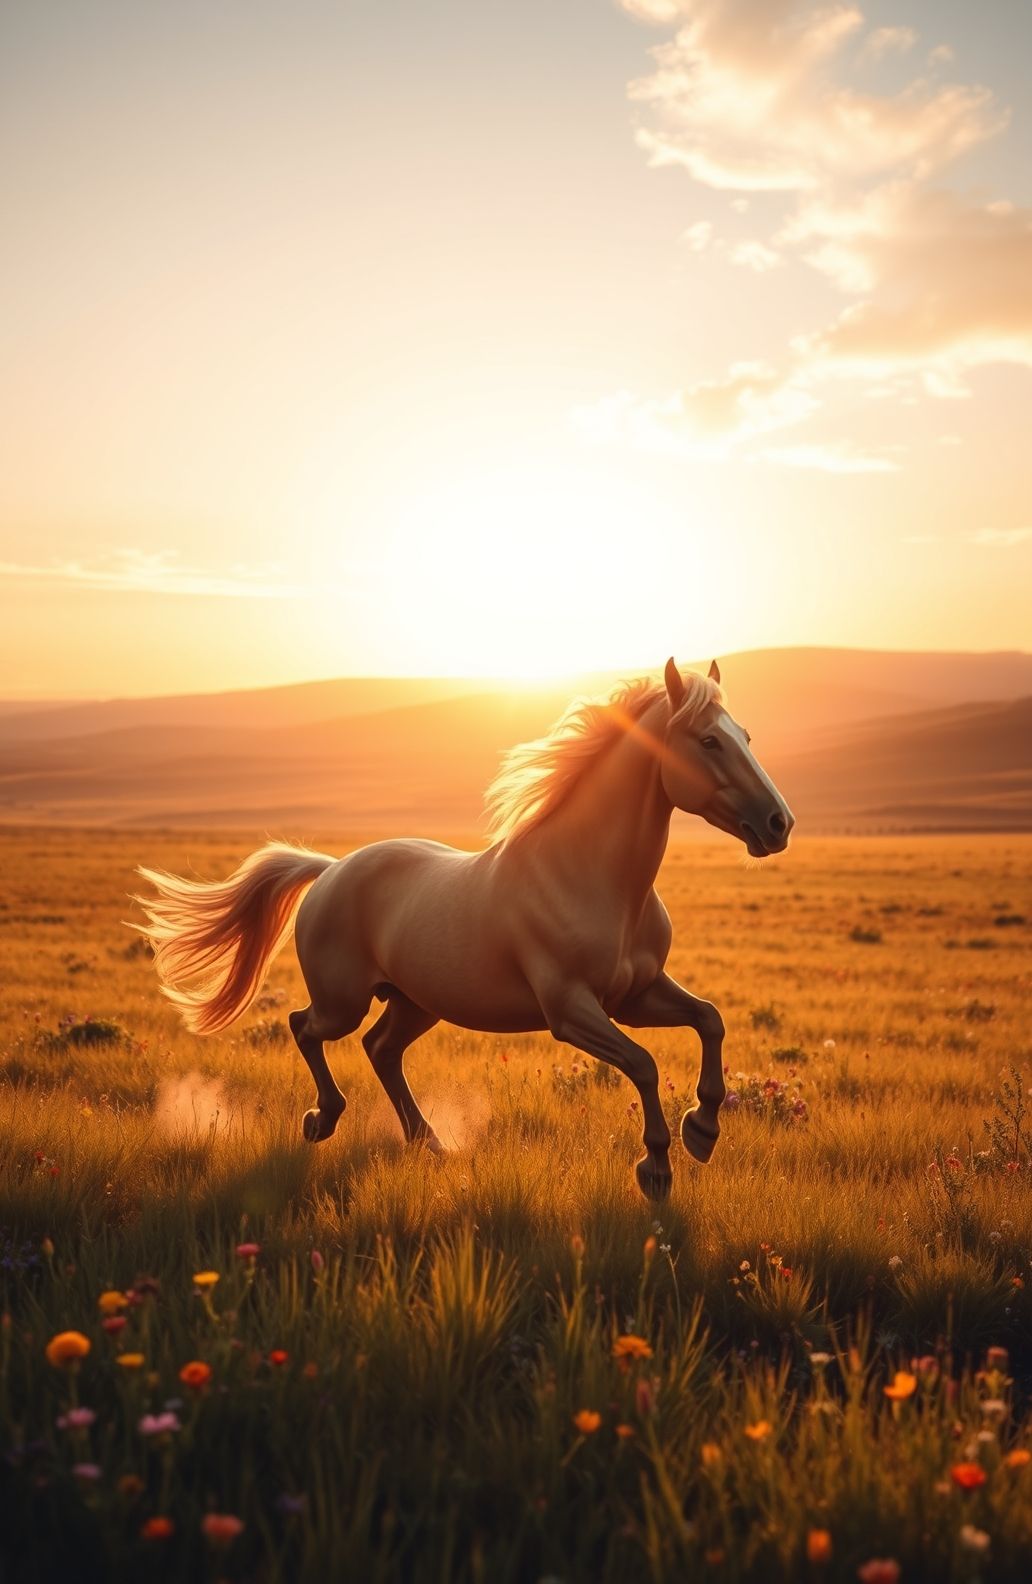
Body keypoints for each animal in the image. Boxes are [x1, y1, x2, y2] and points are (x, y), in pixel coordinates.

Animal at [133, 657, 794, 1200]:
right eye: (708, 740)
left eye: (746, 736)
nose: (778, 823)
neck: (593, 879)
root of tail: (329, 870)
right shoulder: (571, 1010)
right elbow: (644, 1064)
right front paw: (657, 1167)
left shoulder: (635, 996)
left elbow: (709, 1019)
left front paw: (702, 1130)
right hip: (344, 1000)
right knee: (305, 1027)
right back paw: (323, 1120)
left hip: (416, 1002)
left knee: (380, 1049)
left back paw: (428, 1142)